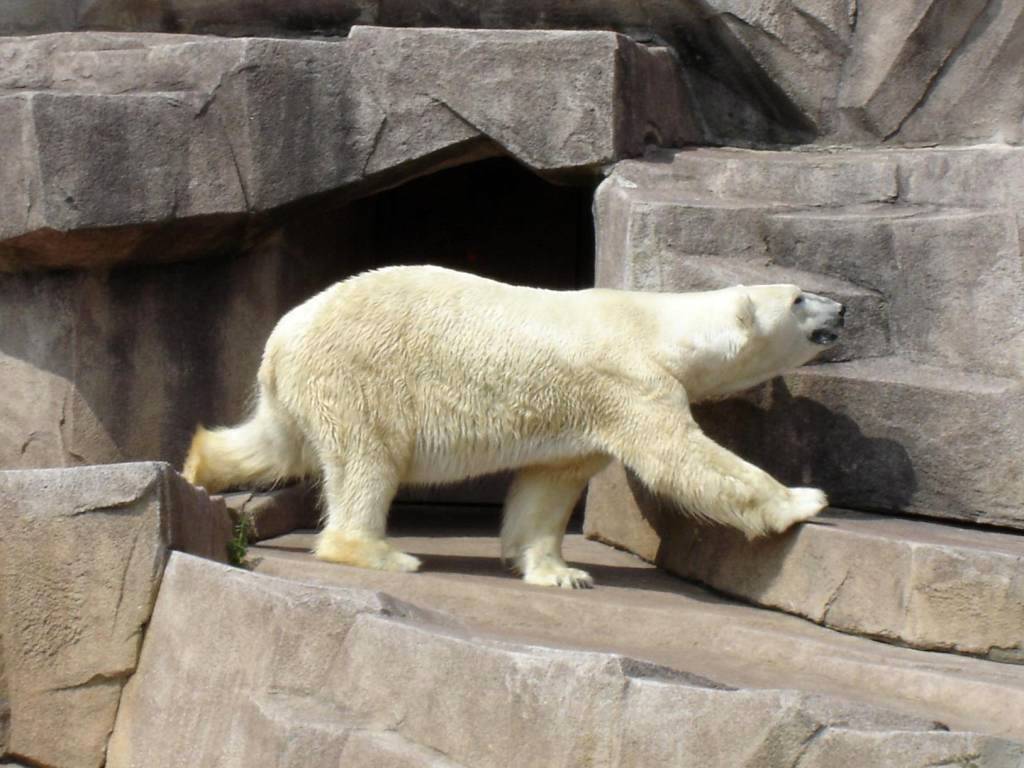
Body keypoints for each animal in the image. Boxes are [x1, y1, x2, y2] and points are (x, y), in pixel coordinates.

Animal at [183, 265, 845, 588]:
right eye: (797, 298)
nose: (842, 307)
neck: (660, 326)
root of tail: (283, 335)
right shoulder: (629, 384)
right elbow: (685, 459)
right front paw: (804, 499)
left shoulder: (581, 413)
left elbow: (548, 487)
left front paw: (560, 573)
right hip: (361, 376)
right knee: (366, 461)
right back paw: (380, 554)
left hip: (306, 387)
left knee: (279, 442)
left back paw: (198, 467)